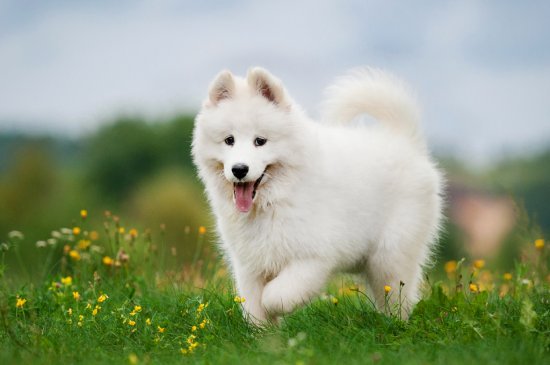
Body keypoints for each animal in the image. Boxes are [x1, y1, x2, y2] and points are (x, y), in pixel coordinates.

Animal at [192, 66, 446, 322]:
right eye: (229, 140)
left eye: (260, 141)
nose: (239, 169)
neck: (275, 200)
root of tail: (405, 140)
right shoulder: (249, 265)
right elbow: (253, 307)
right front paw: (262, 330)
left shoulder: (312, 258)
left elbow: (276, 295)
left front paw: (272, 305)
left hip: (391, 254)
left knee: (397, 295)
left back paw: (393, 324)